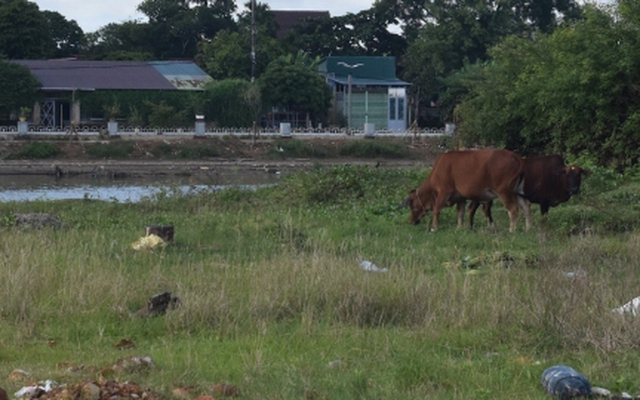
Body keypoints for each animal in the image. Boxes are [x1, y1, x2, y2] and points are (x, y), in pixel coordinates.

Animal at [400, 149, 528, 231]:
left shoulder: (444, 191)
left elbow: (436, 209)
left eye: (412, 206)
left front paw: (434, 227)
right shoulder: (461, 198)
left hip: (504, 192)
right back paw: (528, 228)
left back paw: (512, 229)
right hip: (518, 192)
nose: (411, 221)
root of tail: (515, 155)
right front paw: (459, 228)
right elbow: (460, 213)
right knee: (525, 207)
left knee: (513, 209)